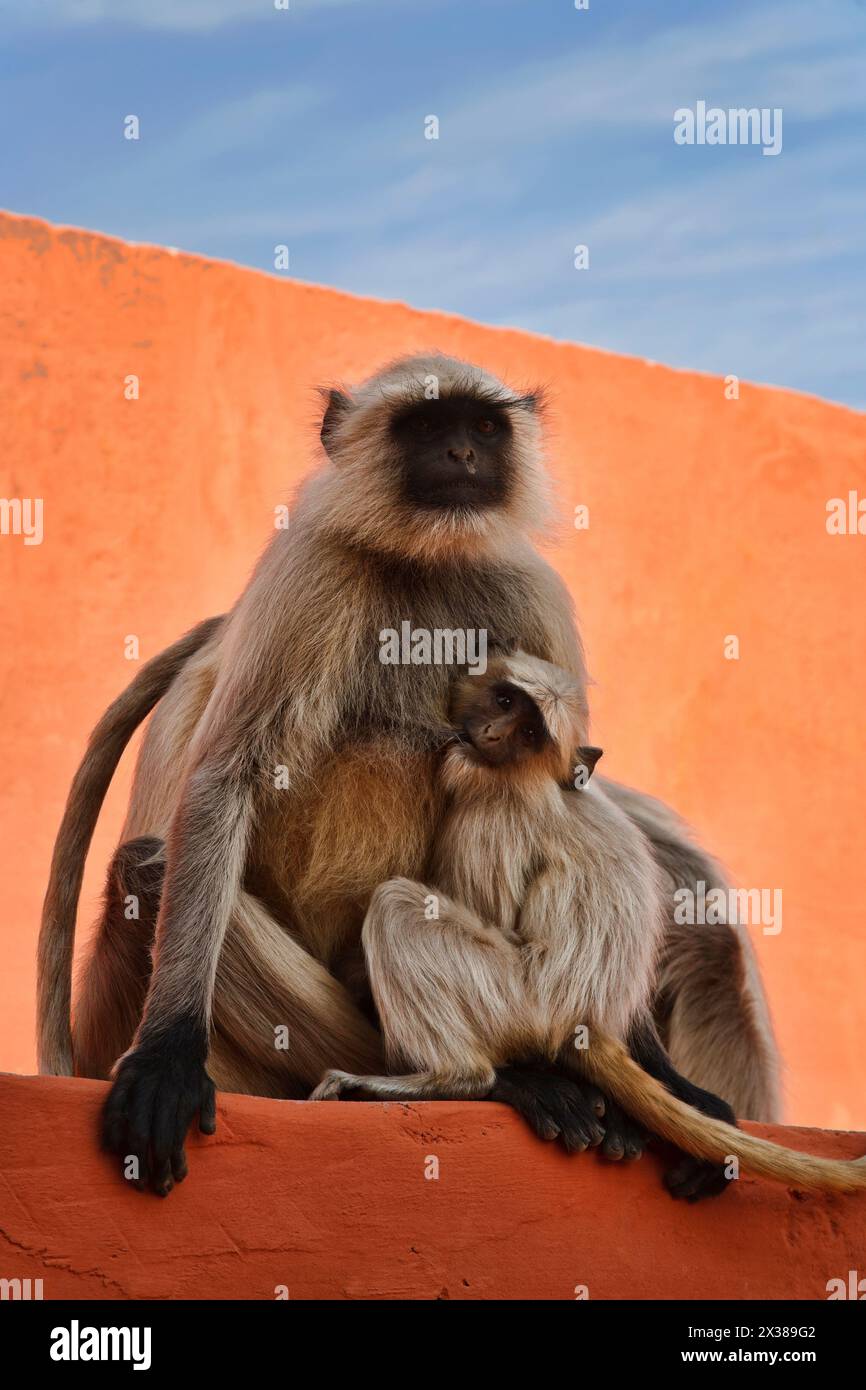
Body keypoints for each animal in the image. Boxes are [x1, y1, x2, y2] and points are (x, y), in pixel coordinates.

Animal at [36, 353, 778, 1192]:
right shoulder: (310, 568)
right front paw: (166, 1055)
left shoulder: (533, 591)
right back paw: (504, 1078)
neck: (429, 557)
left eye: (481, 426)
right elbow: (227, 778)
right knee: (164, 863)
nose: (461, 454)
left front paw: (665, 1082)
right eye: (425, 425)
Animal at [311, 654, 866, 1197]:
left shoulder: (491, 813)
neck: (539, 781)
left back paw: (456, 1079)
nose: (491, 733)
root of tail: (589, 1018)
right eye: (504, 702)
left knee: (397, 907)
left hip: (516, 999)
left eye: (528, 734)